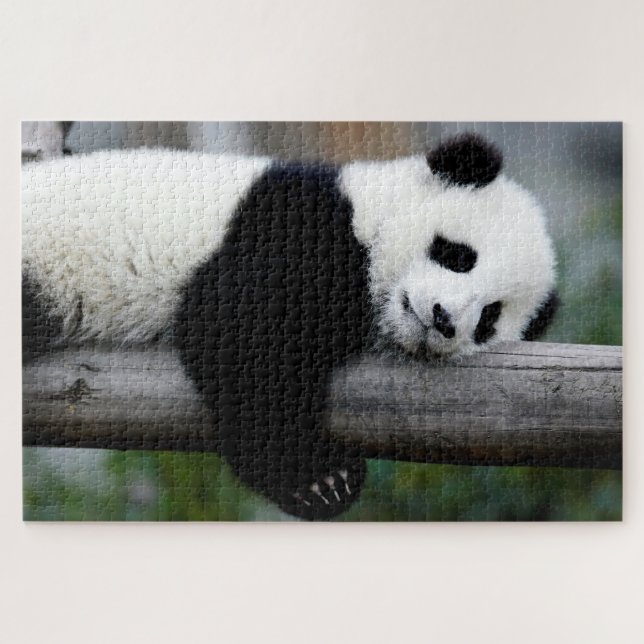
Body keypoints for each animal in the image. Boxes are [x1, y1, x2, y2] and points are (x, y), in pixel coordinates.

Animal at [22, 133, 558, 520]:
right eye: (457, 254)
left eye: (490, 317)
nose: (444, 320)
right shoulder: (300, 225)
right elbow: (237, 332)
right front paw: (321, 481)